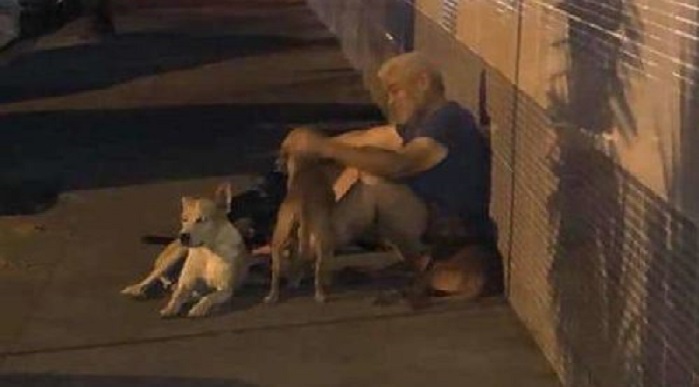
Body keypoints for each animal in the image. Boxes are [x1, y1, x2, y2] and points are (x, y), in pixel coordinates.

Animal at [120, 185, 249, 318]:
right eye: (184, 219)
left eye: (200, 220)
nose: (183, 236)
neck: (208, 251)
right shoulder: (186, 283)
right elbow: (177, 296)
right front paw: (170, 308)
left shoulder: (225, 288)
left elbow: (209, 297)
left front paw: (198, 308)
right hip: (175, 256)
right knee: (153, 275)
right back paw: (136, 289)